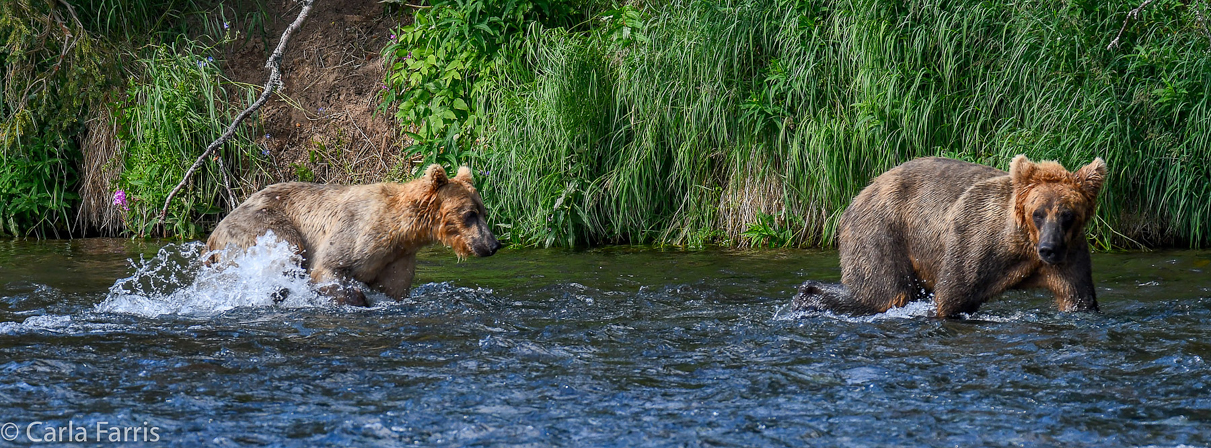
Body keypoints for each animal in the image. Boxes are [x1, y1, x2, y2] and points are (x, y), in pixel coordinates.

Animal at [205, 162, 498, 306]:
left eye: (483, 211)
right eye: (470, 214)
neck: (402, 231)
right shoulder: (357, 232)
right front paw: (356, 299)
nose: (493, 244)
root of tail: (213, 234)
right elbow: (328, 267)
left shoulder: (398, 259)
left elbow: (393, 289)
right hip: (263, 226)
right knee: (286, 250)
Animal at [794, 156, 1109, 317]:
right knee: (883, 293)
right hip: (882, 230)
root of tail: (858, 195)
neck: (1020, 246)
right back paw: (807, 295)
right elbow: (954, 294)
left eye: (1068, 215)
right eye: (1038, 213)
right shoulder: (974, 239)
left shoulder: (1070, 257)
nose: (1049, 249)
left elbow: (1078, 298)